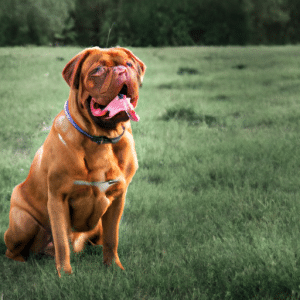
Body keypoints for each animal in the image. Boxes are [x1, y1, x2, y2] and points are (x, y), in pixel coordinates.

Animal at [3, 46, 146, 276]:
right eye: (98, 69)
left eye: (129, 64)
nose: (122, 71)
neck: (101, 138)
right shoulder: (58, 199)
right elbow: (62, 242)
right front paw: (65, 275)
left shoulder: (117, 199)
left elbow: (112, 239)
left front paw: (114, 267)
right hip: (22, 223)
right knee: (13, 251)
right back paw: (20, 263)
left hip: (96, 228)